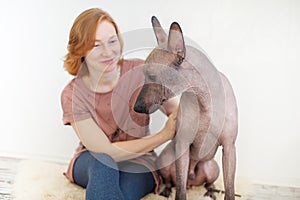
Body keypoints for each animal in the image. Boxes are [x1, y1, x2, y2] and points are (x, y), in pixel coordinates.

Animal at [135, 17, 238, 200]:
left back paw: (211, 192)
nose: (136, 107)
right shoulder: (183, 145)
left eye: (152, 76)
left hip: (213, 166)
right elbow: (180, 191)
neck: (204, 100)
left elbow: (230, 189)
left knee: (209, 182)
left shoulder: (229, 147)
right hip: (167, 159)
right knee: (173, 181)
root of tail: (192, 179)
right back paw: (167, 191)